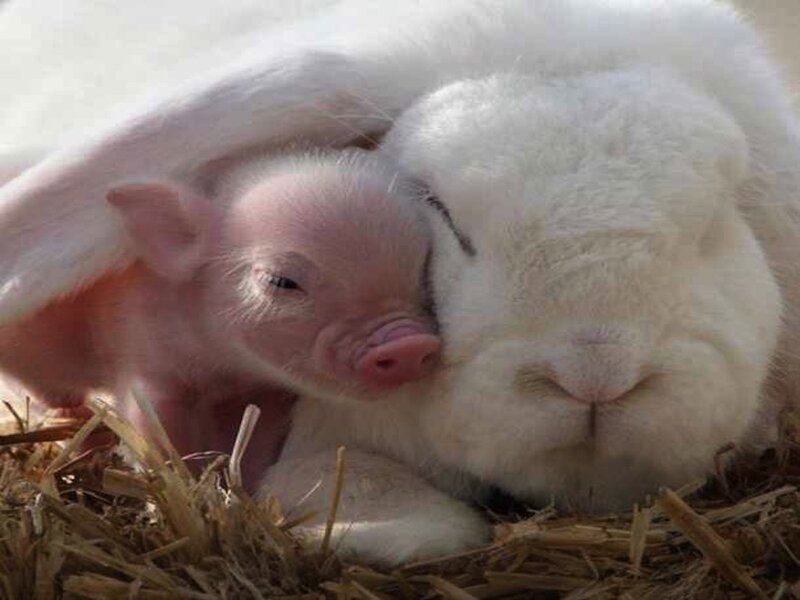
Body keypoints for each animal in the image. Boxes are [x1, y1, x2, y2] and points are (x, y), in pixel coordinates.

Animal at [0, 149, 439, 485]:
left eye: (422, 267)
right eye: (281, 280)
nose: (408, 342)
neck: (222, 369)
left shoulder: (261, 392)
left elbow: (253, 439)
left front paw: (242, 488)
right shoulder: (143, 355)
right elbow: (156, 427)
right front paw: (191, 487)